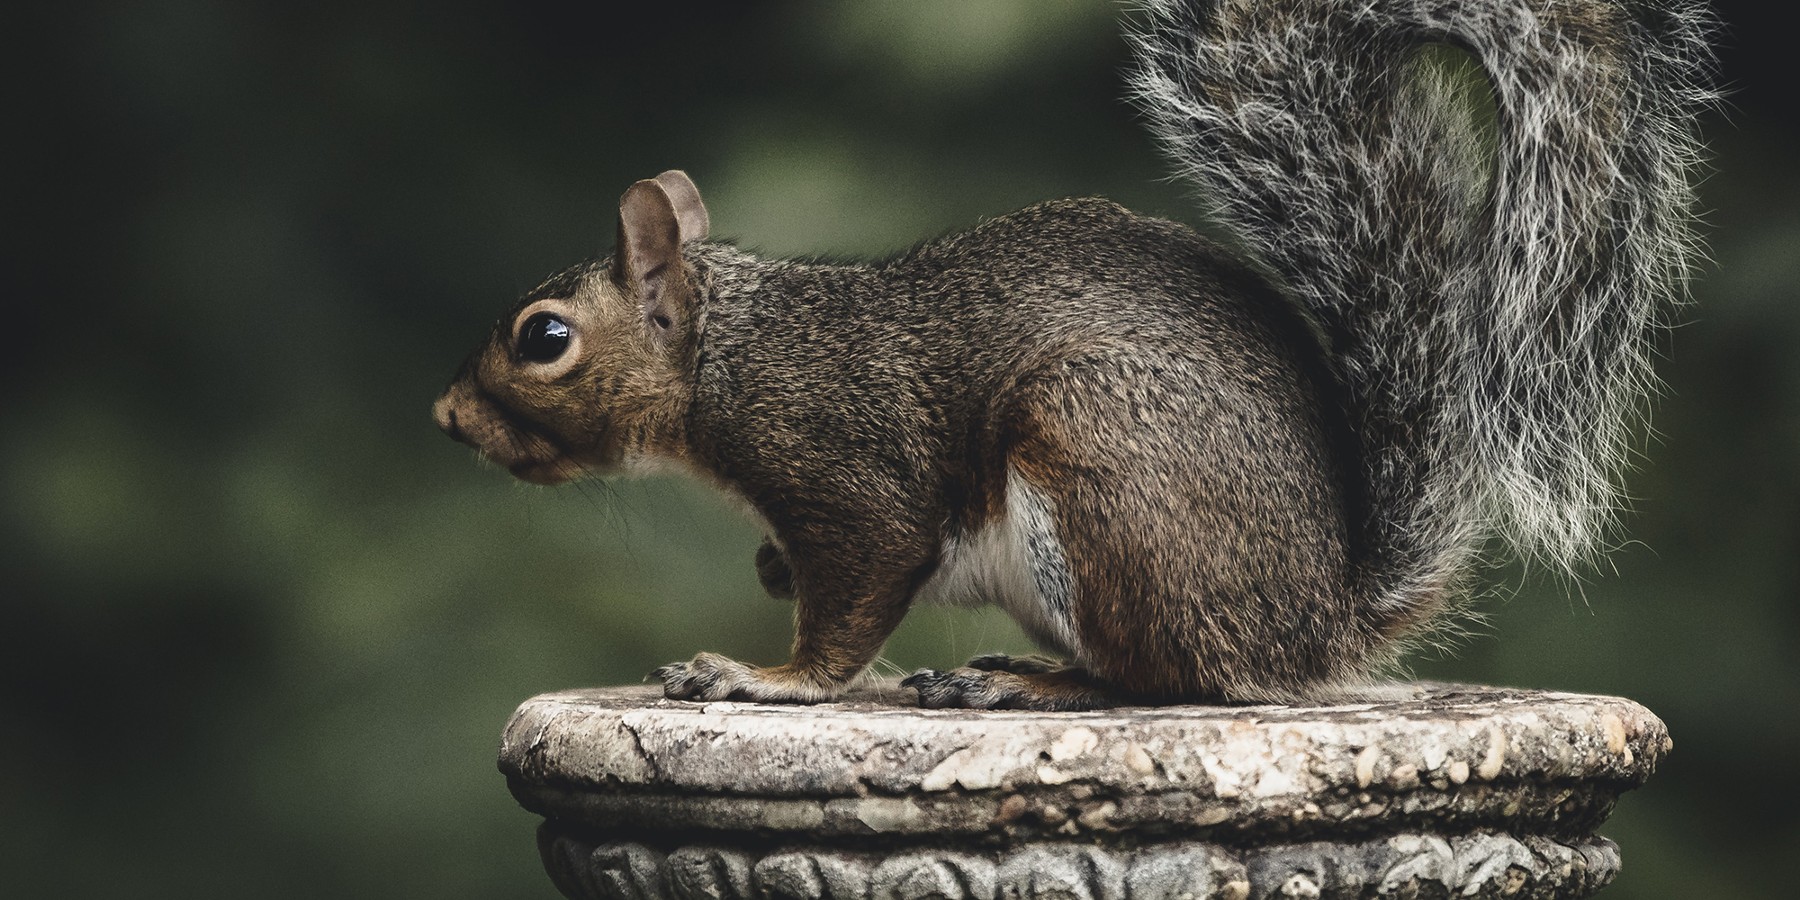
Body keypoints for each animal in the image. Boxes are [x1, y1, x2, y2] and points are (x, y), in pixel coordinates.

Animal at [428, 0, 1706, 709]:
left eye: (544, 340)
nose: (445, 419)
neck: (731, 355)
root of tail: (1317, 621)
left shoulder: (843, 467)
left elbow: (856, 596)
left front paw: (762, 676)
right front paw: (768, 579)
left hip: (1100, 470)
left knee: (1166, 678)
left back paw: (1020, 681)